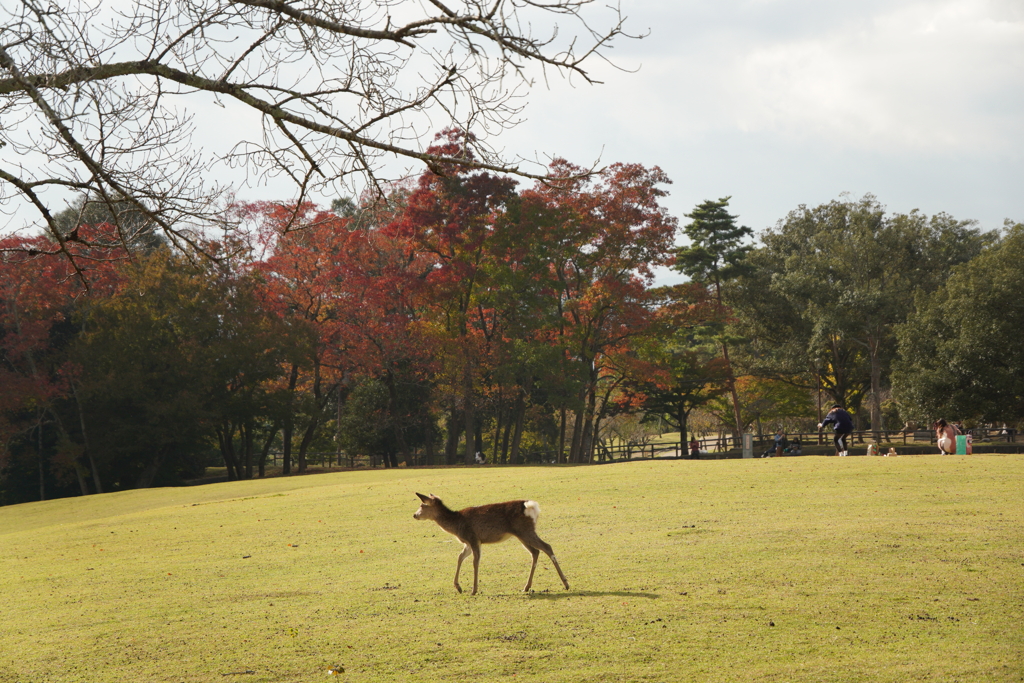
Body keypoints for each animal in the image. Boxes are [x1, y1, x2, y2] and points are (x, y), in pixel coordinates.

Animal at [411, 493, 573, 593]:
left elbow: (475, 562)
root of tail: (531, 507)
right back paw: (526, 587)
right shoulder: (469, 542)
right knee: (535, 551)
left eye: (423, 505)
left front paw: (474, 590)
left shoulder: (473, 537)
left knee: (547, 547)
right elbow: (459, 557)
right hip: (522, 533)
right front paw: (458, 587)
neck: (456, 525)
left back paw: (566, 583)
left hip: (524, 531)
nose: (414, 515)